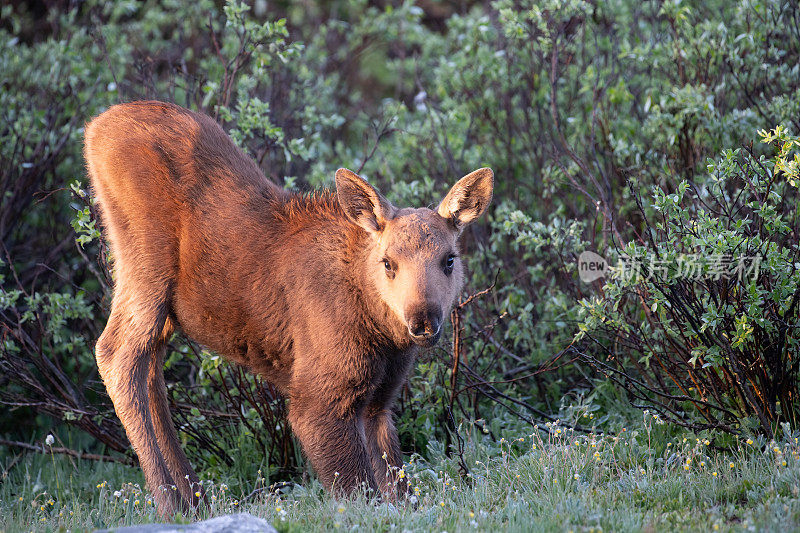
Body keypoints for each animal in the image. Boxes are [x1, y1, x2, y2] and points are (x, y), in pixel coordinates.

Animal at [84, 100, 490, 516]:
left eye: (449, 259)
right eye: (388, 263)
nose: (422, 320)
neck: (381, 331)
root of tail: (96, 128)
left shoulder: (379, 399)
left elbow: (397, 483)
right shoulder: (318, 398)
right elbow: (358, 493)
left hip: (162, 306)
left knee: (148, 368)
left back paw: (193, 501)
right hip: (146, 266)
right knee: (116, 353)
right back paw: (172, 503)